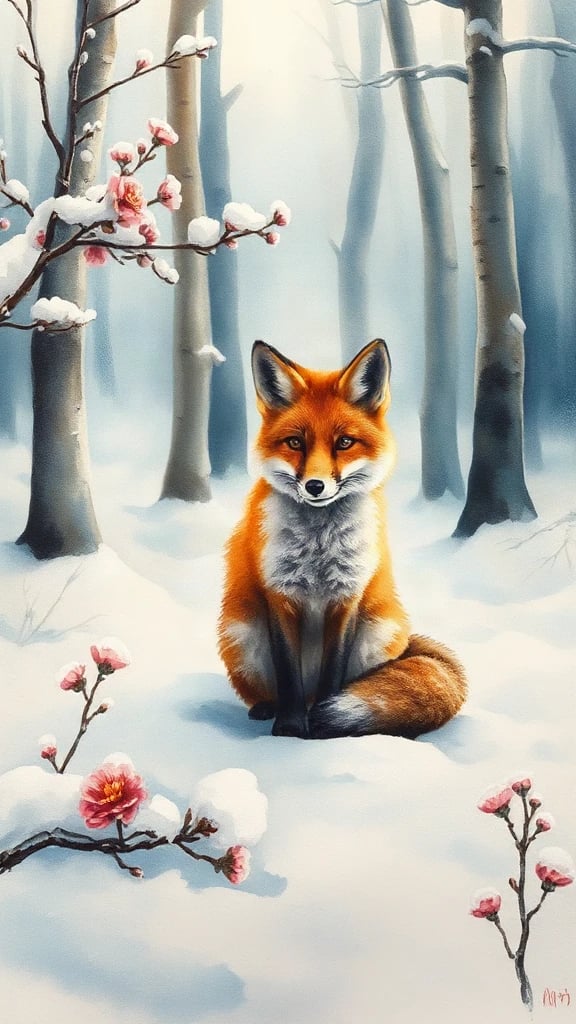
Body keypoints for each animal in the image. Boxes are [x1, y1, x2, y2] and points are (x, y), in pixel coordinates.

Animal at [218, 338, 467, 739]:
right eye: (295, 443)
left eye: (345, 442)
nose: (315, 486)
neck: (318, 549)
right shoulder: (279, 596)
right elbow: (288, 675)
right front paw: (290, 728)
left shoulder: (347, 598)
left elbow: (332, 675)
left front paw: (323, 726)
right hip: (242, 635)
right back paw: (267, 709)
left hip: (378, 632)